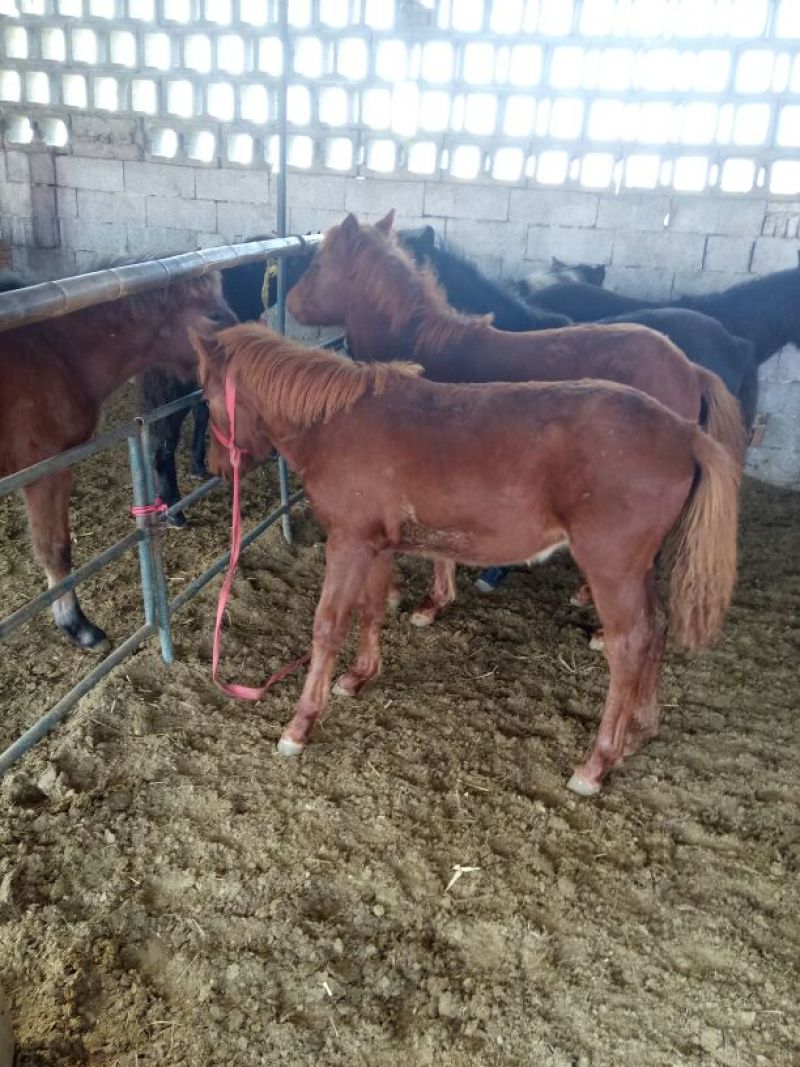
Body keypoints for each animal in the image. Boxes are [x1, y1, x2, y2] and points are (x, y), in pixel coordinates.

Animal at [194, 320, 740, 795]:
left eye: (207, 398)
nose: (217, 467)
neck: (336, 426)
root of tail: (684, 433)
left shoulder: (348, 542)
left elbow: (328, 626)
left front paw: (300, 725)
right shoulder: (376, 543)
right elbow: (372, 607)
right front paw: (360, 676)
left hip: (611, 567)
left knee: (630, 645)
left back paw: (597, 762)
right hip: (636, 568)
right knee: (657, 629)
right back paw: (639, 731)